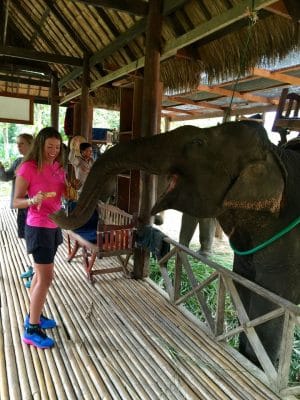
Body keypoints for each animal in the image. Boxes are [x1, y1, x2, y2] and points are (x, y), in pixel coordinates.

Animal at [52, 119, 300, 366]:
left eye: (198, 143)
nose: (59, 208)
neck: (275, 154)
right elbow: (243, 284)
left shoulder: (286, 245)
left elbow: (271, 301)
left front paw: (254, 361)